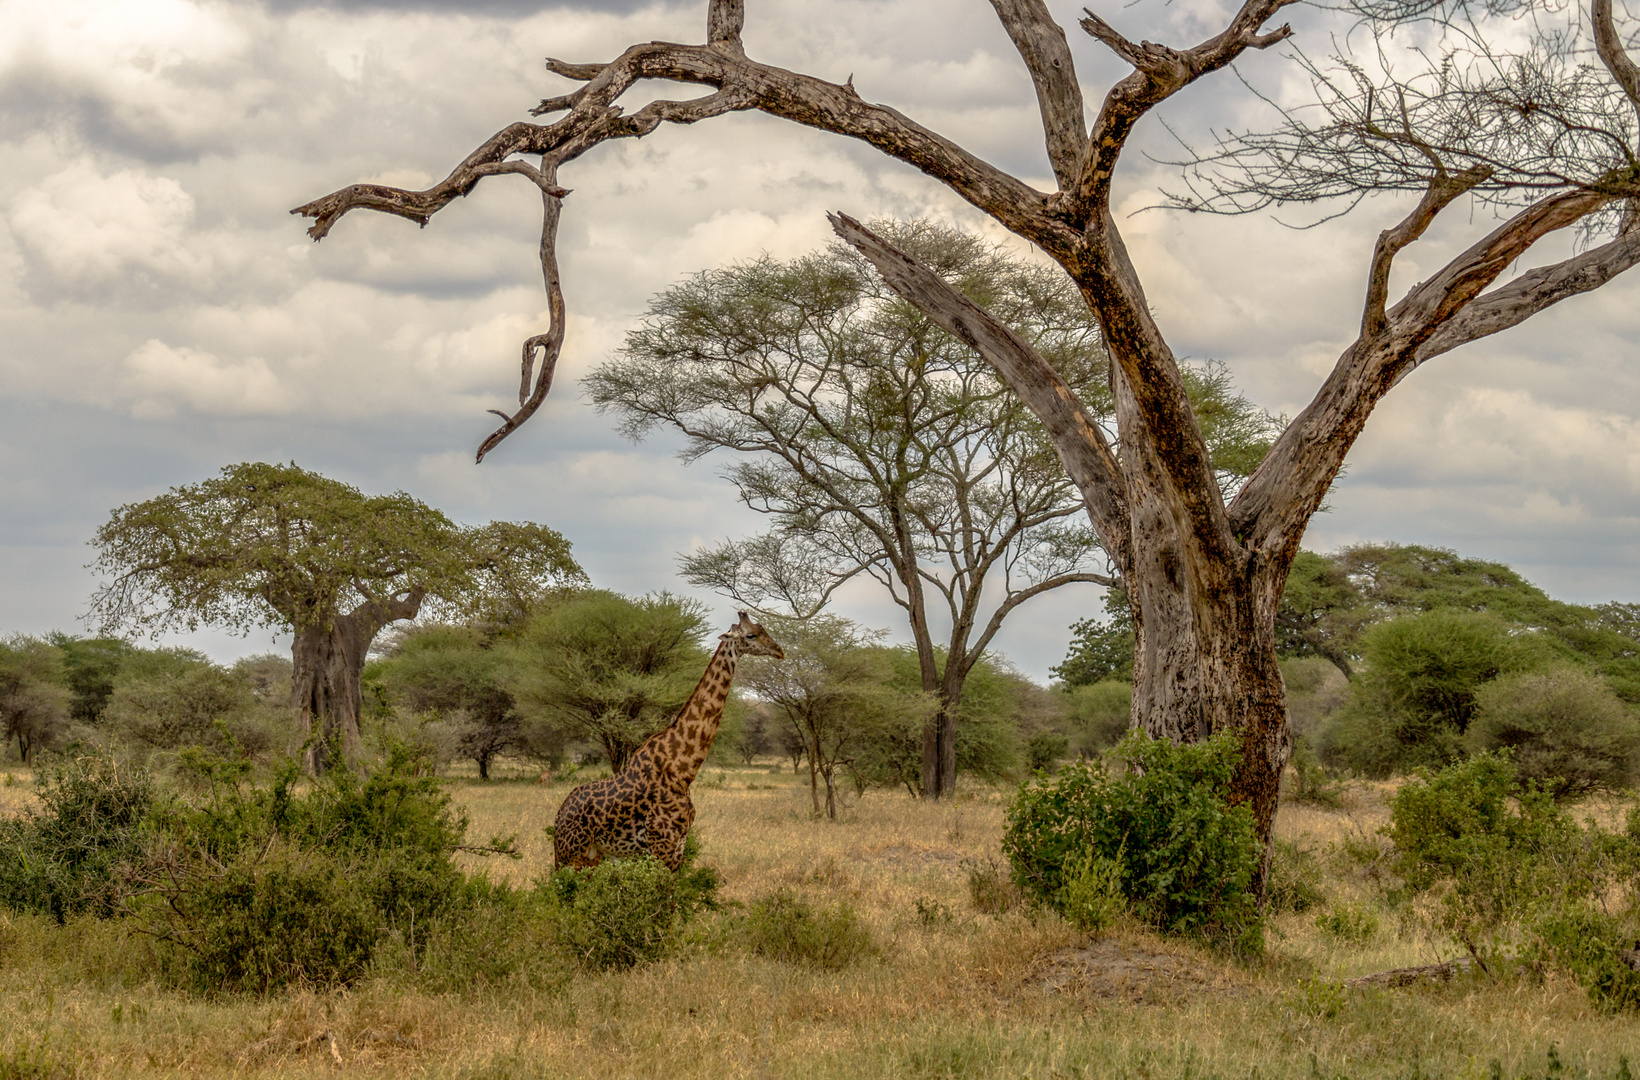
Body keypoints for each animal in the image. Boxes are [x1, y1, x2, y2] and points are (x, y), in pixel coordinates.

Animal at [547, 612, 783, 871]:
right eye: (751, 635)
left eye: (764, 629)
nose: (779, 650)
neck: (683, 768)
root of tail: (557, 818)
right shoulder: (661, 843)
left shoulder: (679, 844)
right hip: (572, 855)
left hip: (593, 855)